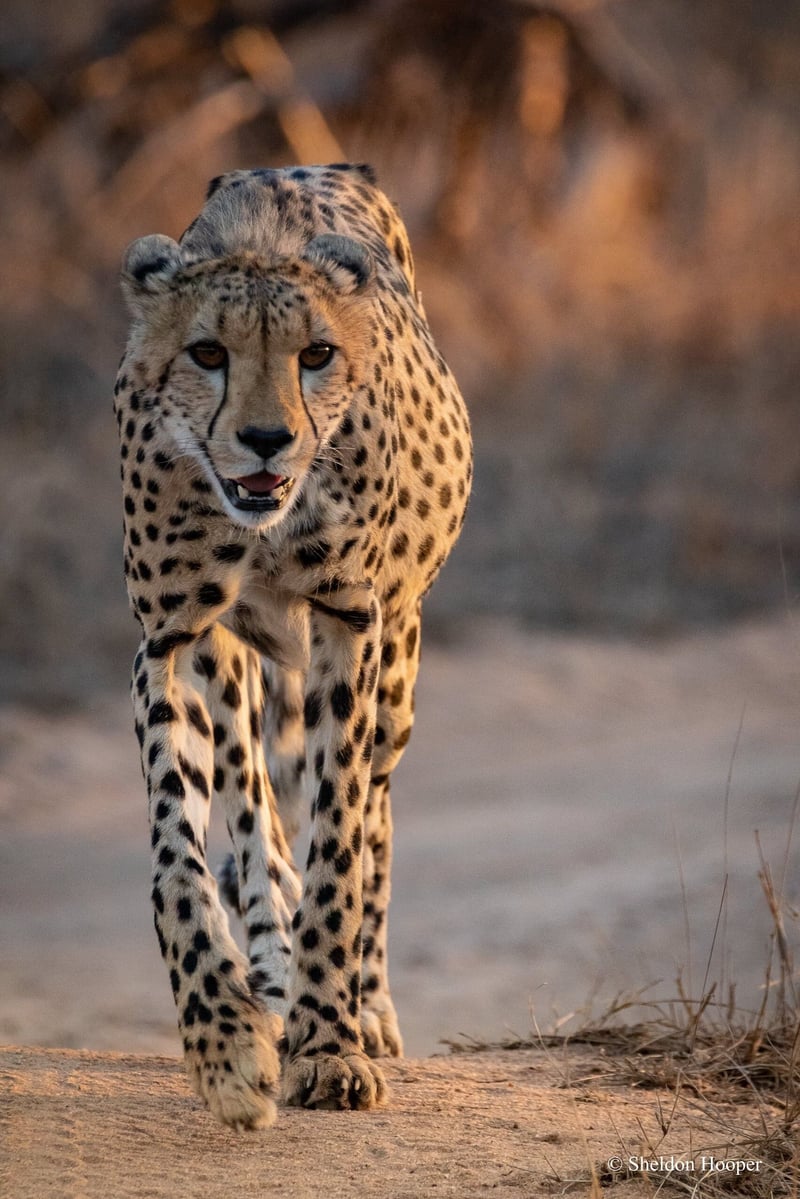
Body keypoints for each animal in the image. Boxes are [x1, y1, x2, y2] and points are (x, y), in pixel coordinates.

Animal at [114, 162, 472, 1129]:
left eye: (316, 355)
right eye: (207, 353)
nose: (268, 440)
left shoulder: (350, 625)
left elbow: (340, 846)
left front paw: (330, 1042)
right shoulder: (170, 634)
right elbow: (179, 855)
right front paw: (227, 1041)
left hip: (396, 670)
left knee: (371, 814)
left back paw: (364, 1003)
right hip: (232, 663)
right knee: (253, 813)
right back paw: (268, 975)